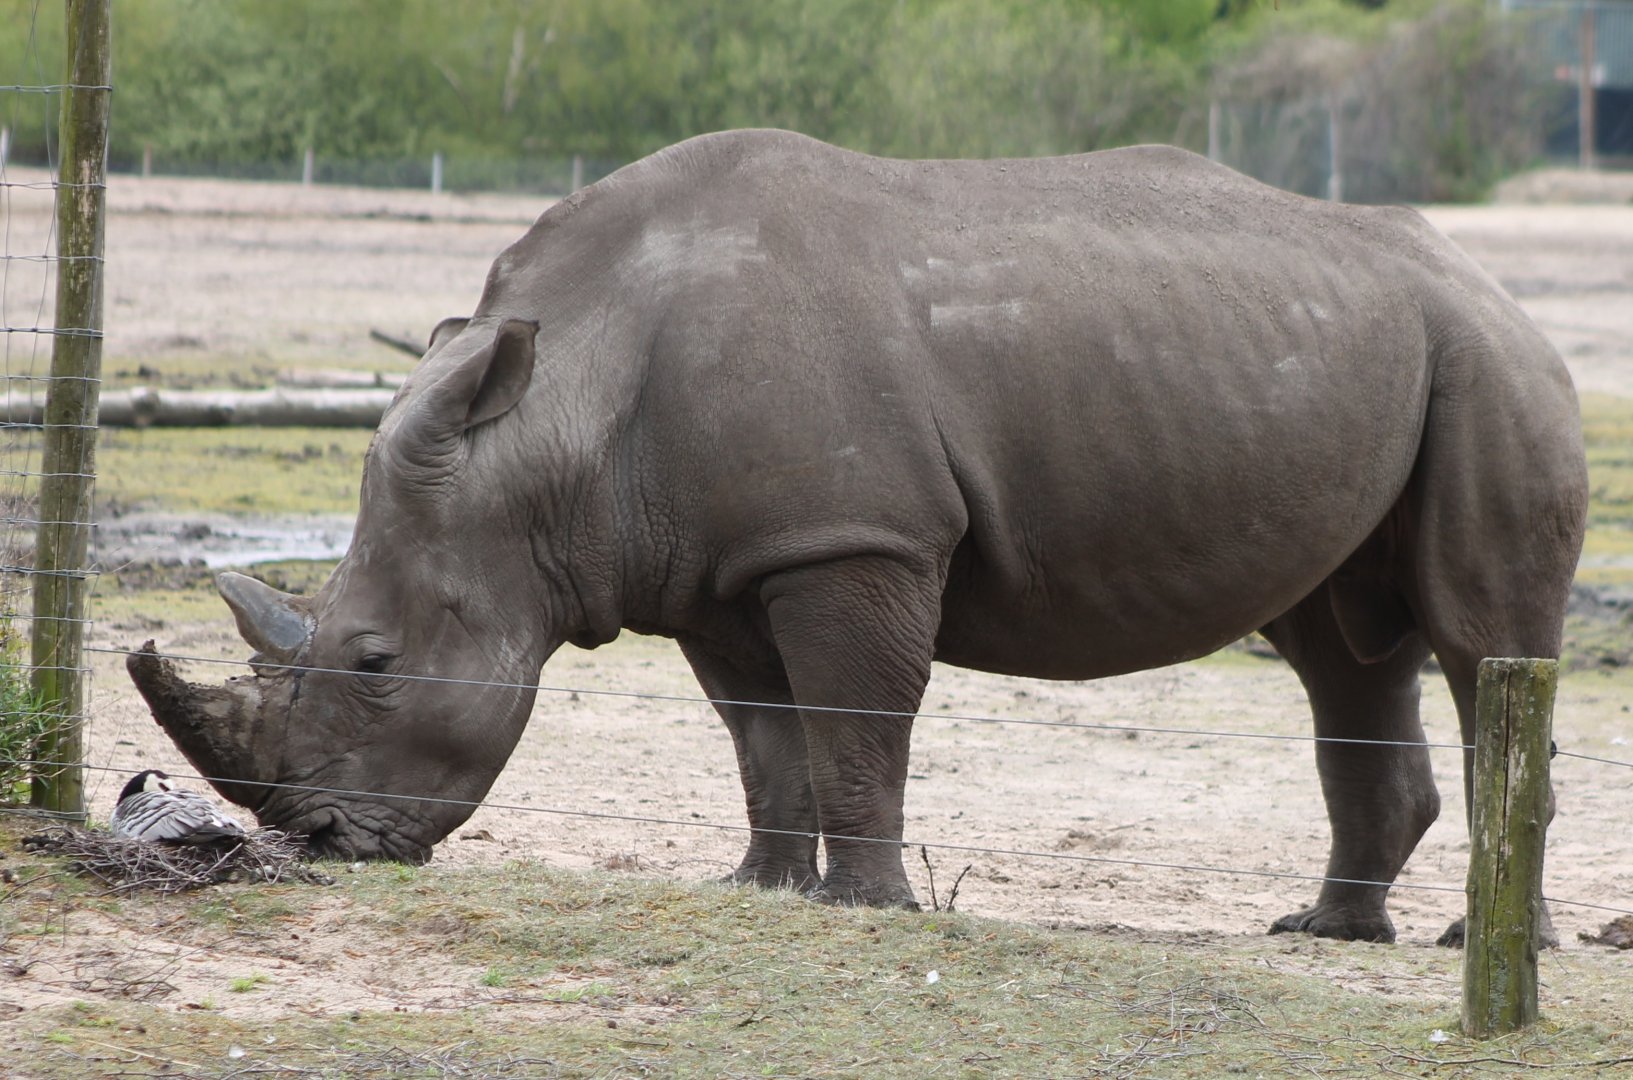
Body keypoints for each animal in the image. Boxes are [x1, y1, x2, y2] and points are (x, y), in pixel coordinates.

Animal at [128, 129, 1587, 944]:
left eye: (375, 664)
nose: (319, 843)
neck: (559, 416)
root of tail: (1485, 279)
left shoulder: (851, 538)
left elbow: (853, 718)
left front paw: (866, 909)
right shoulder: (718, 565)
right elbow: (761, 735)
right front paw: (760, 890)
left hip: (1495, 364)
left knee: (1480, 647)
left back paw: (1471, 940)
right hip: (1360, 353)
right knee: (1338, 648)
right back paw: (1328, 932)